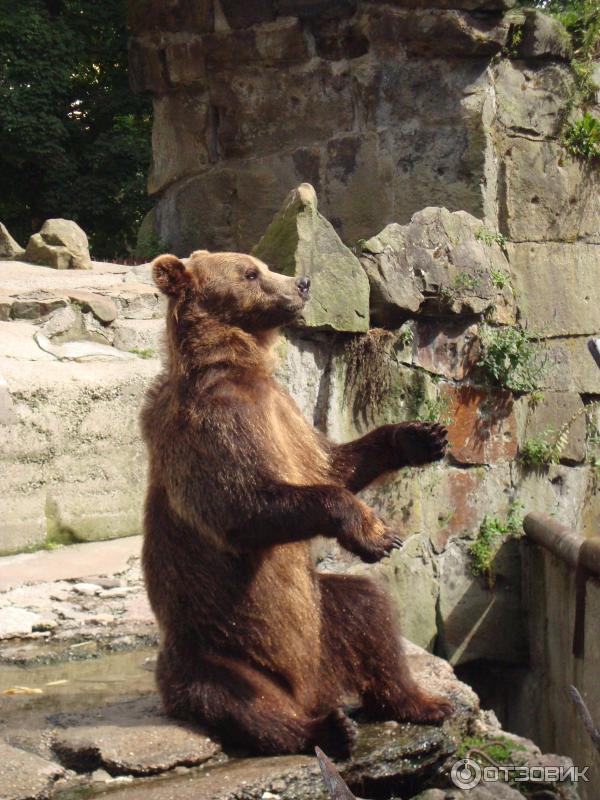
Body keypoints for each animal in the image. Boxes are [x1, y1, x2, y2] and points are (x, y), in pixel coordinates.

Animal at [139, 248, 450, 756]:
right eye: (250, 272)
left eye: (261, 264)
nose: (301, 283)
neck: (239, 366)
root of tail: (307, 691)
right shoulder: (212, 425)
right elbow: (244, 505)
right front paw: (377, 534)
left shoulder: (286, 415)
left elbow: (330, 464)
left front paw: (421, 436)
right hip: (214, 650)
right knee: (236, 699)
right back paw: (328, 729)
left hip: (321, 621)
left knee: (368, 611)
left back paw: (422, 701)